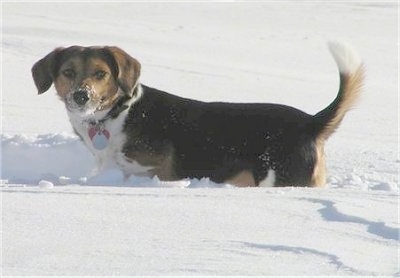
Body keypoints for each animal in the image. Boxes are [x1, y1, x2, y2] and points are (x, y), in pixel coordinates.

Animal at [30, 41, 362, 187]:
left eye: (101, 74)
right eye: (68, 72)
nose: (81, 96)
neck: (119, 113)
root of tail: (311, 122)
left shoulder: (159, 172)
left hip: (282, 177)